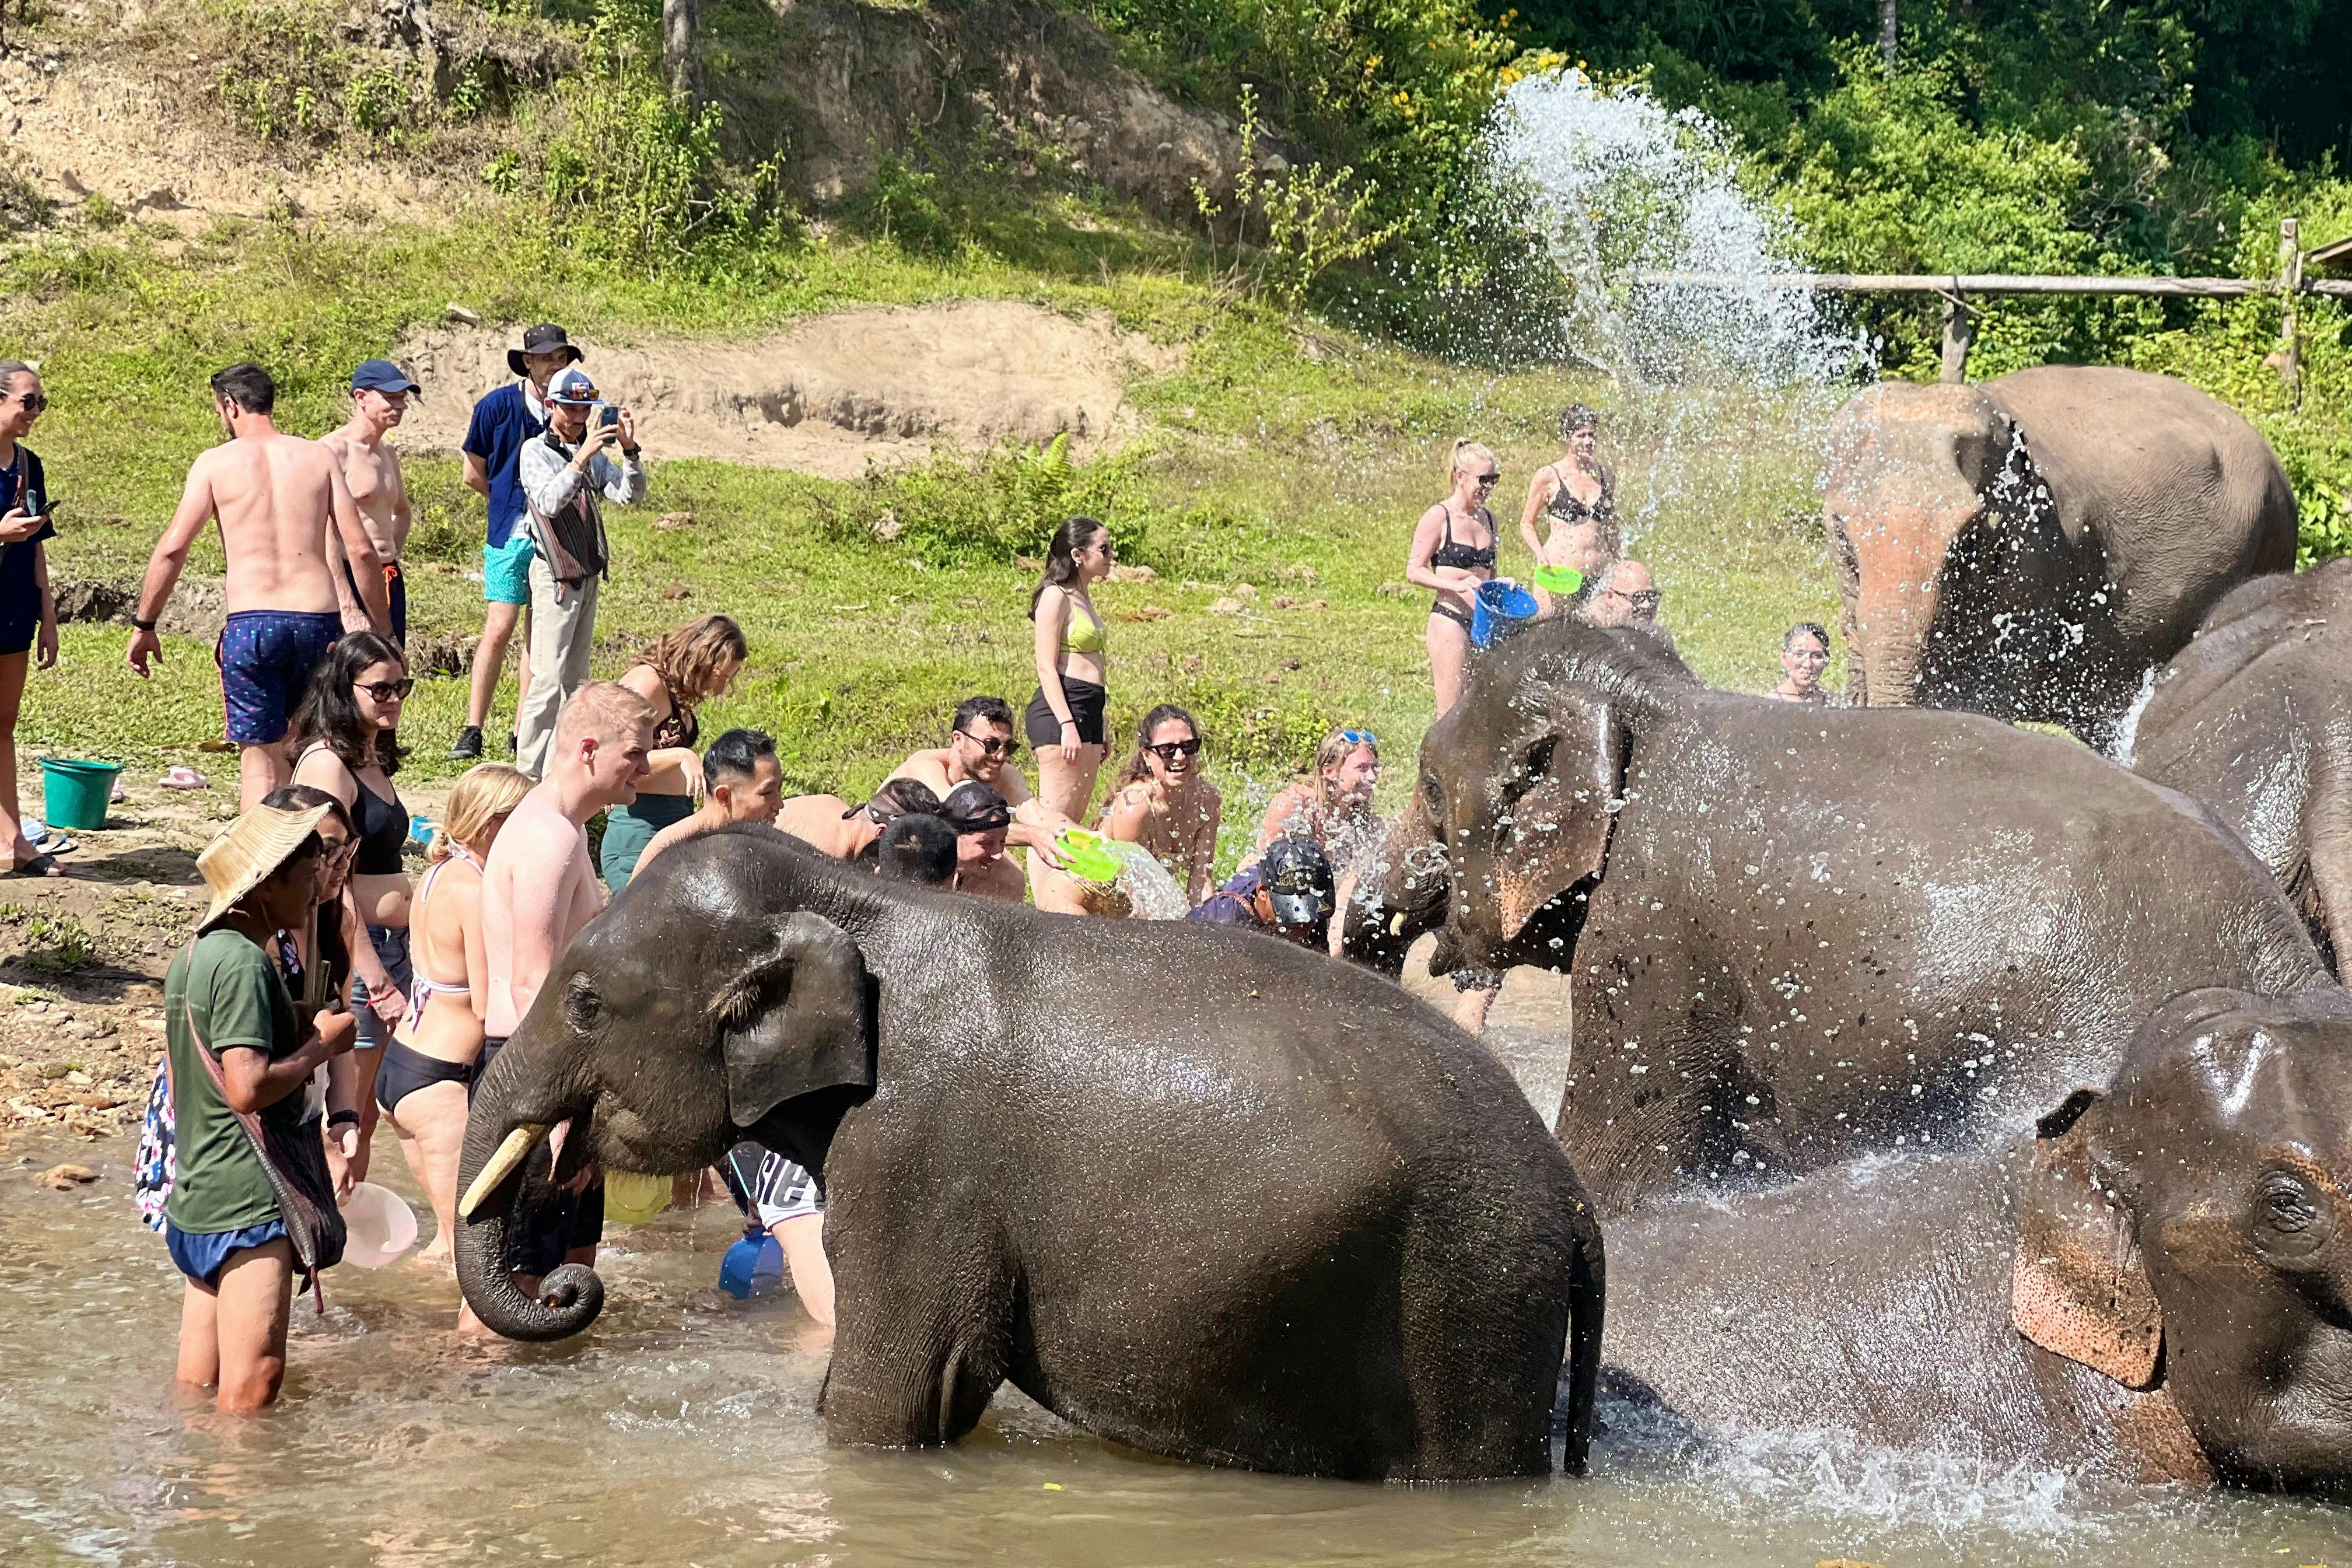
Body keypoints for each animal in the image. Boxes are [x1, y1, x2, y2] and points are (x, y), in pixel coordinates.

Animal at [452, 827, 1606, 1482]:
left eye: (587, 1001)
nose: (568, 1285)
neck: (859, 899)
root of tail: (1577, 1201)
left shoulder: (916, 1154)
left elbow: (894, 1395)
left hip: (1467, 1296)